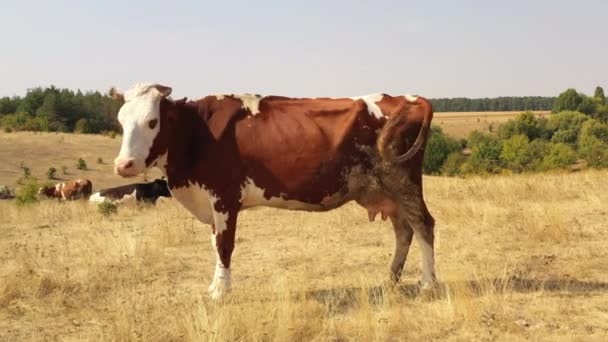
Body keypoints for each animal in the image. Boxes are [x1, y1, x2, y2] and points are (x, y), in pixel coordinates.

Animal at [111, 83, 434, 300]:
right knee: (404, 231)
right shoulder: (211, 202)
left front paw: (221, 292)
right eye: (121, 121)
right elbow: (214, 243)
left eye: (152, 121)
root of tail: (409, 98)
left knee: (423, 225)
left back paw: (428, 284)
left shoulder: (225, 197)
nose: (124, 164)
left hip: (403, 181)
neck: (198, 133)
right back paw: (390, 279)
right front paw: (215, 285)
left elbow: (224, 245)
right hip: (388, 191)